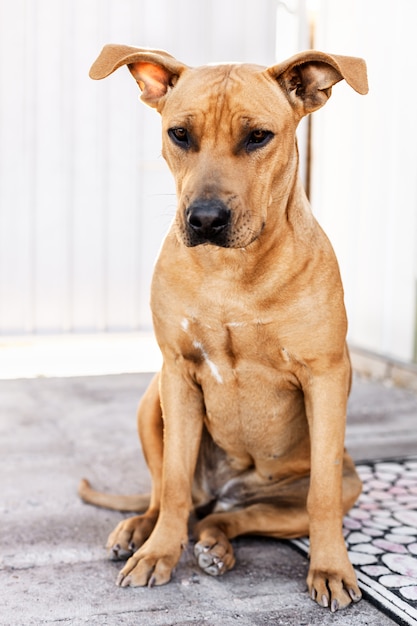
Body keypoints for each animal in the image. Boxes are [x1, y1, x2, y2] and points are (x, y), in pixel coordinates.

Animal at [80, 44, 368, 608]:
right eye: (179, 134)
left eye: (258, 136)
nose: (206, 219)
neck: (232, 271)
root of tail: (224, 490)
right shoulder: (176, 372)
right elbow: (171, 482)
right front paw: (159, 553)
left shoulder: (325, 377)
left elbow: (321, 495)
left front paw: (330, 568)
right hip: (152, 400)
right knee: (171, 495)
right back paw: (141, 529)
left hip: (336, 484)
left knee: (232, 518)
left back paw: (217, 546)